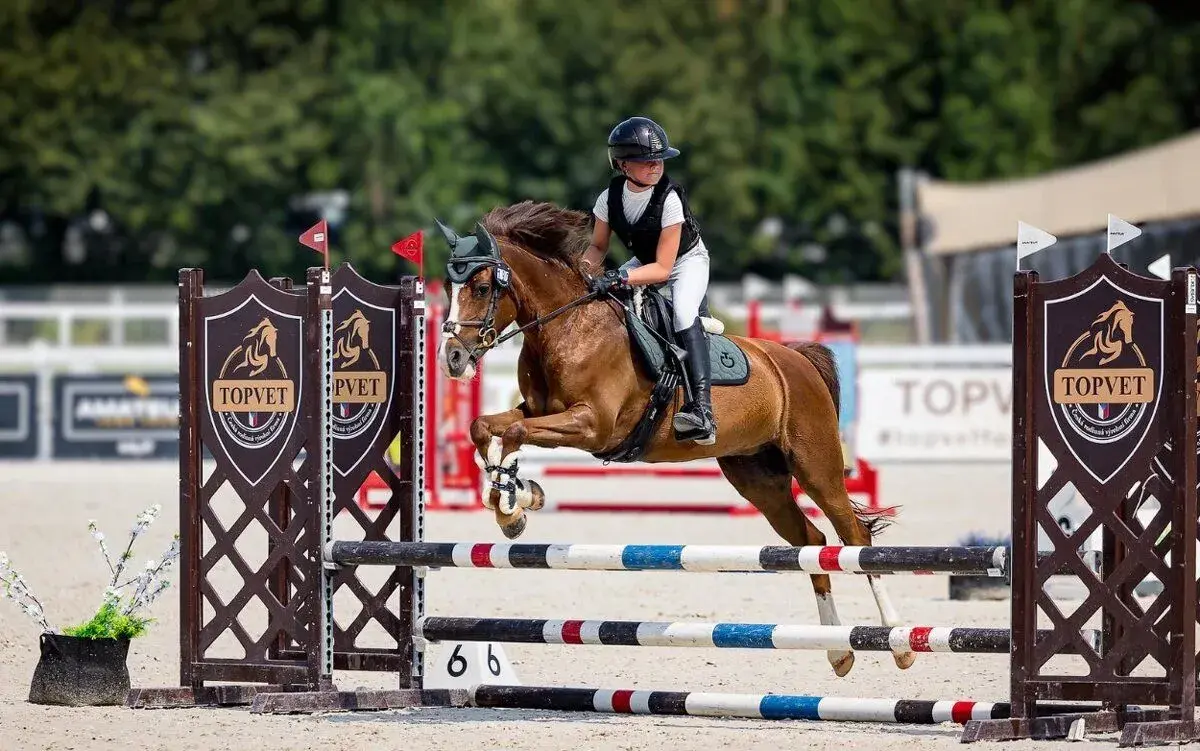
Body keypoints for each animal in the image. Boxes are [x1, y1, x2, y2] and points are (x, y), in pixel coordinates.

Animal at [435, 200, 911, 677]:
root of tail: (795, 358)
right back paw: (838, 651)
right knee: (811, 542)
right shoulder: (538, 411)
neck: (568, 326)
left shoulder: (592, 425)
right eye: (448, 287)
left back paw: (898, 640)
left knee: (855, 540)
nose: (452, 359)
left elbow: (514, 431)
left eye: (480, 287)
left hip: (815, 465)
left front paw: (515, 498)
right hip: (758, 478)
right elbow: (487, 426)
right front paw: (511, 500)